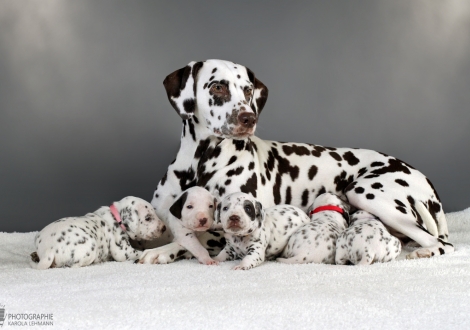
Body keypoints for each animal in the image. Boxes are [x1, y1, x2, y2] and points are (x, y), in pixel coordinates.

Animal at [30, 196, 166, 268]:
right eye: (148, 218)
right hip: (90, 246)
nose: (164, 228)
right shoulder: (122, 251)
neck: (116, 215)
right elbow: (139, 252)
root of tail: (48, 251)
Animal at [138, 59, 454, 264]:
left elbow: (195, 240)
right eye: (217, 87)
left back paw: (425, 251)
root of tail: (427, 183)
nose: (248, 118)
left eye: (248, 90)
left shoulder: (225, 231)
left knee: (442, 243)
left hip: (367, 193)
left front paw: (160, 252)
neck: (200, 163)